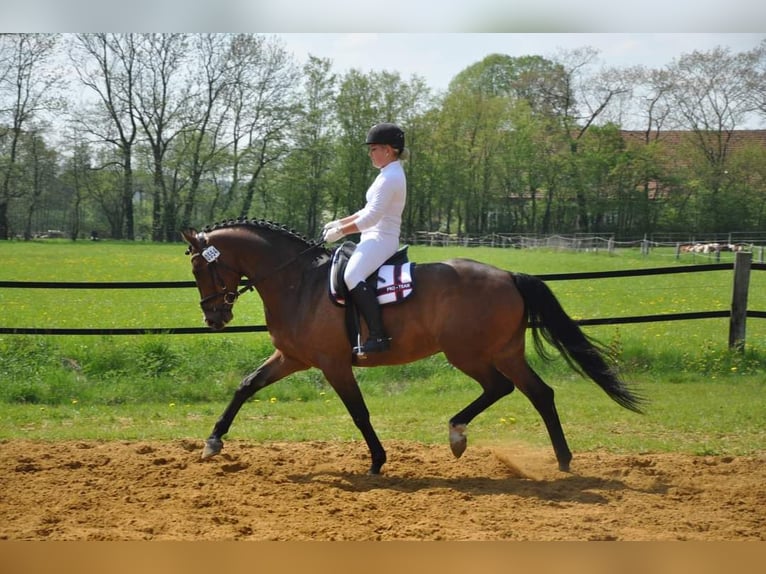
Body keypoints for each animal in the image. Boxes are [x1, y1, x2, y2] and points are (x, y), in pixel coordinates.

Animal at [183, 218, 644, 474]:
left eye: (198, 268)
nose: (213, 318)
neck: (299, 282)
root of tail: (509, 276)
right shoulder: (292, 358)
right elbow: (245, 386)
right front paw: (213, 441)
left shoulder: (334, 364)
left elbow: (359, 413)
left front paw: (377, 460)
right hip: (503, 352)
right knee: (538, 393)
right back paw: (561, 459)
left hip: (469, 354)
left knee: (504, 388)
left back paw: (459, 434)